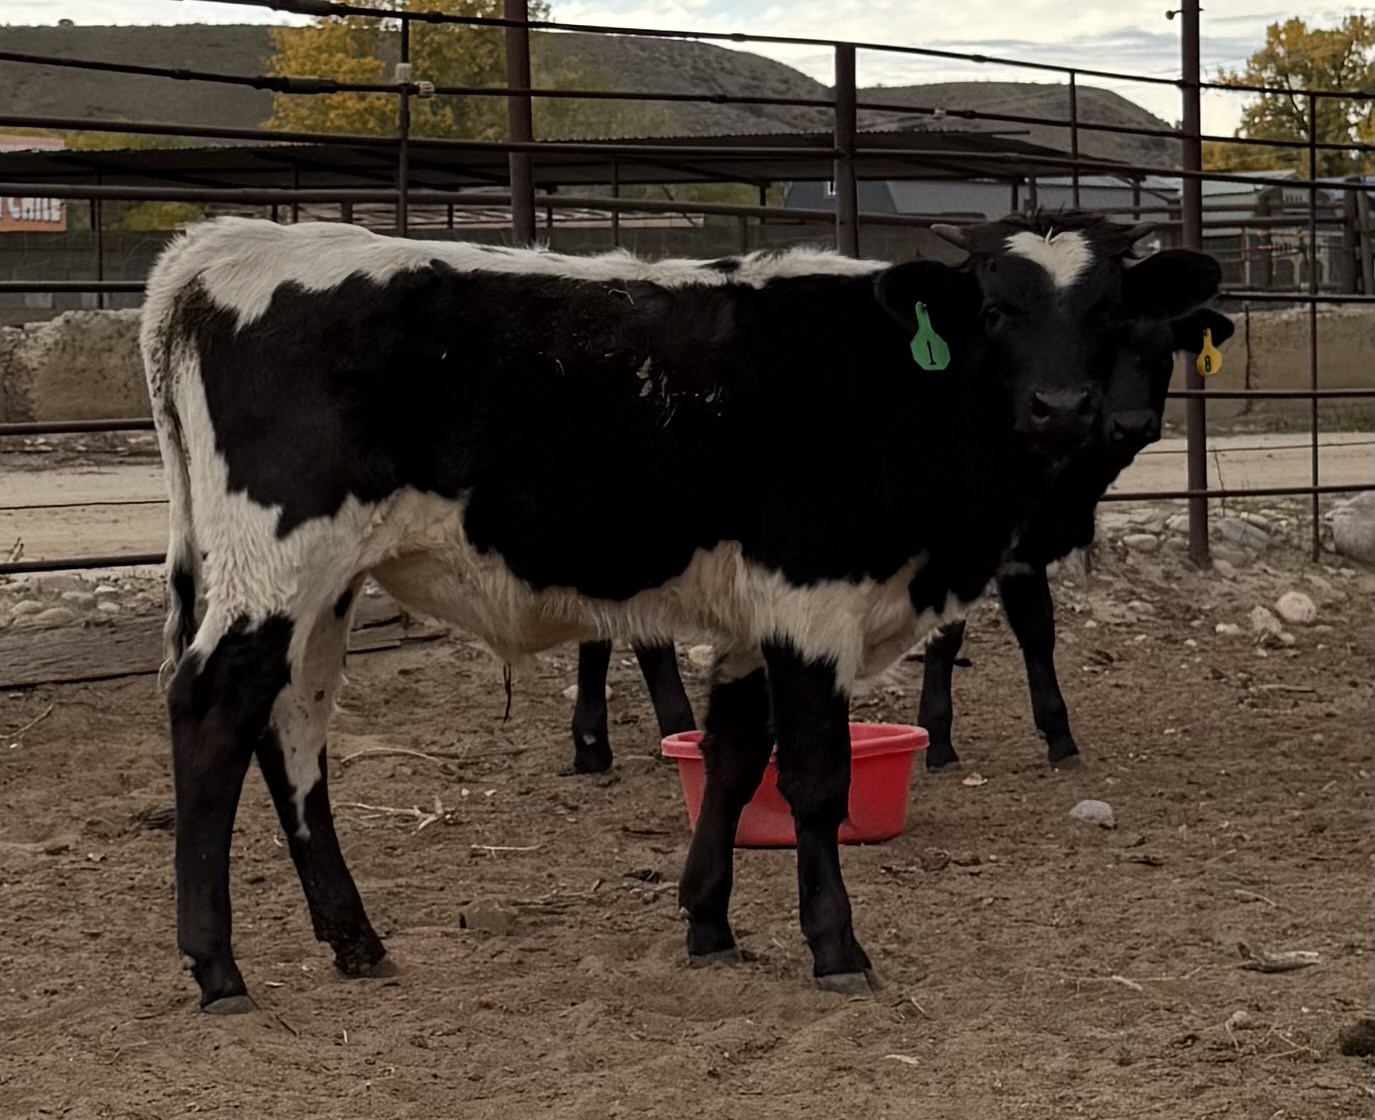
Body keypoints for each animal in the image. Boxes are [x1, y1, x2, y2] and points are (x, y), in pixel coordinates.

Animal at [140, 211, 1223, 1012]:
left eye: (1112, 313)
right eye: (994, 310)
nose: (1063, 407)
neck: (895, 392)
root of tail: (217, 249)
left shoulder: (755, 617)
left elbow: (735, 758)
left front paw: (709, 922)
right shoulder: (809, 600)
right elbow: (814, 780)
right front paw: (835, 948)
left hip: (322, 585)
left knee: (292, 730)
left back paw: (355, 939)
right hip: (276, 563)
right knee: (211, 713)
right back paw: (216, 966)